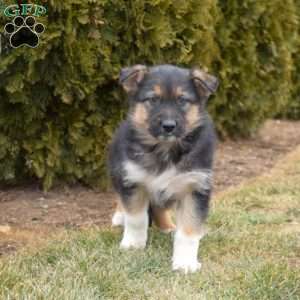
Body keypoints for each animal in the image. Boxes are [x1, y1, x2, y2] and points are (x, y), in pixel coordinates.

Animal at [108, 64, 218, 274]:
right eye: (153, 99)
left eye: (182, 100)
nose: (168, 126)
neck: (165, 150)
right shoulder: (132, 178)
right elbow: (136, 218)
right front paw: (133, 245)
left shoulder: (195, 186)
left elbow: (189, 231)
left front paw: (185, 263)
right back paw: (119, 216)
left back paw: (168, 227)